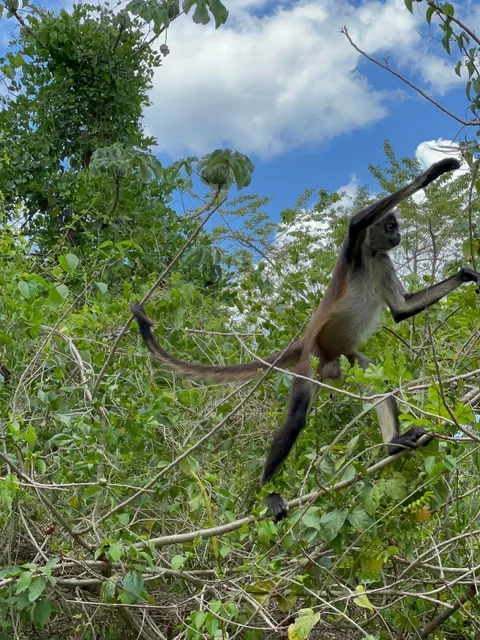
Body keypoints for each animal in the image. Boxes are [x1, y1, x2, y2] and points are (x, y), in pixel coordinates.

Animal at [131, 156, 480, 522]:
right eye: (390, 226)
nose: (398, 234)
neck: (370, 256)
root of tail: (311, 346)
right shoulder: (353, 250)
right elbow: (355, 222)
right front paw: (435, 170)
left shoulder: (383, 260)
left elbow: (400, 310)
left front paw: (466, 274)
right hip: (308, 362)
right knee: (296, 417)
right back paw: (268, 491)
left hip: (344, 359)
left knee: (374, 378)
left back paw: (392, 444)